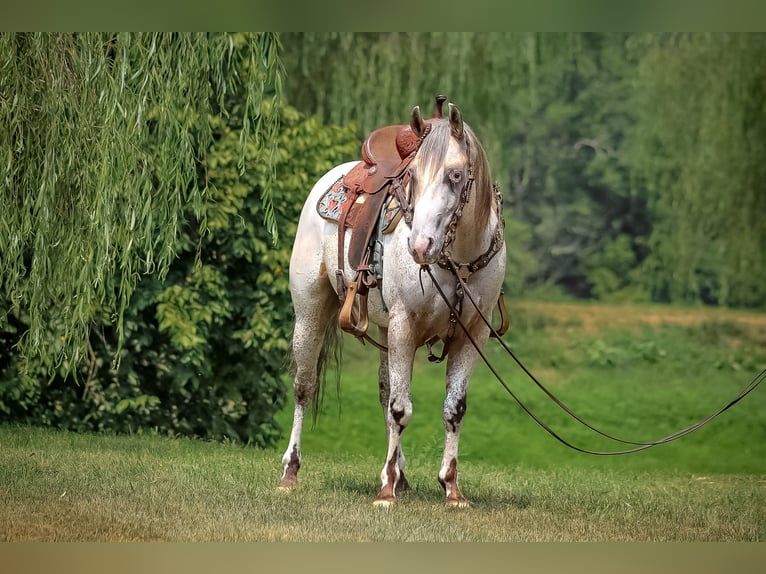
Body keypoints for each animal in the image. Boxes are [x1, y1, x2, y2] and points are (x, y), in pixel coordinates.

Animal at [278, 98, 506, 507]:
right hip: (310, 314)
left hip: (385, 333)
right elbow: (401, 409)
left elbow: (453, 409)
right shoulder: (405, 325)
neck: (459, 259)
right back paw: (291, 472)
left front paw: (451, 488)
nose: (420, 246)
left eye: (456, 175)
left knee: (386, 393)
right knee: (304, 387)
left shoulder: (472, 336)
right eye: (411, 176)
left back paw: (400, 475)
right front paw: (386, 492)